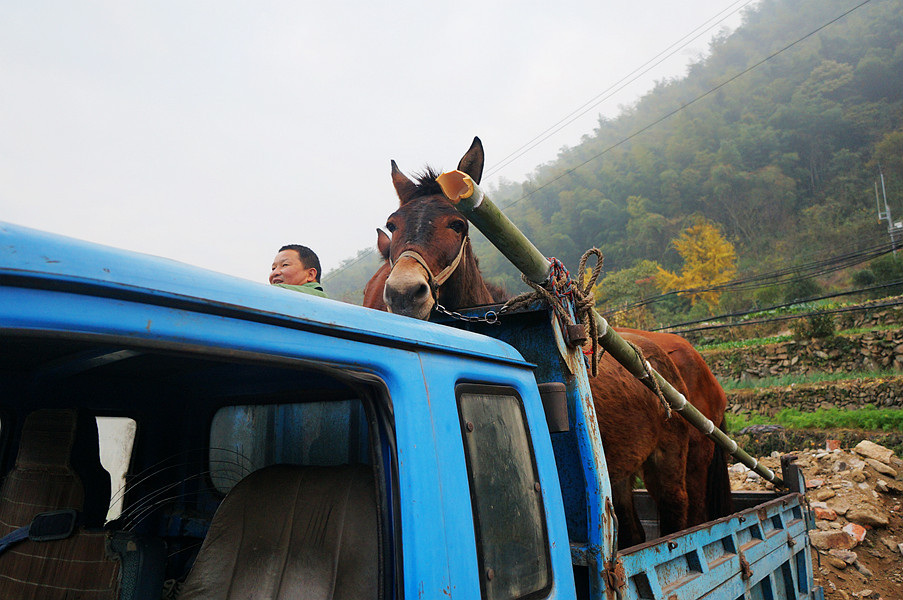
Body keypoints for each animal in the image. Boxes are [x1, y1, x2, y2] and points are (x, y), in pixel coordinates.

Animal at [366, 137, 712, 548]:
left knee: (678, 514)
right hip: (623, 472)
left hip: (668, 460)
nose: (404, 293)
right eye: (393, 225)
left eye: (458, 224)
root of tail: (658, 356)